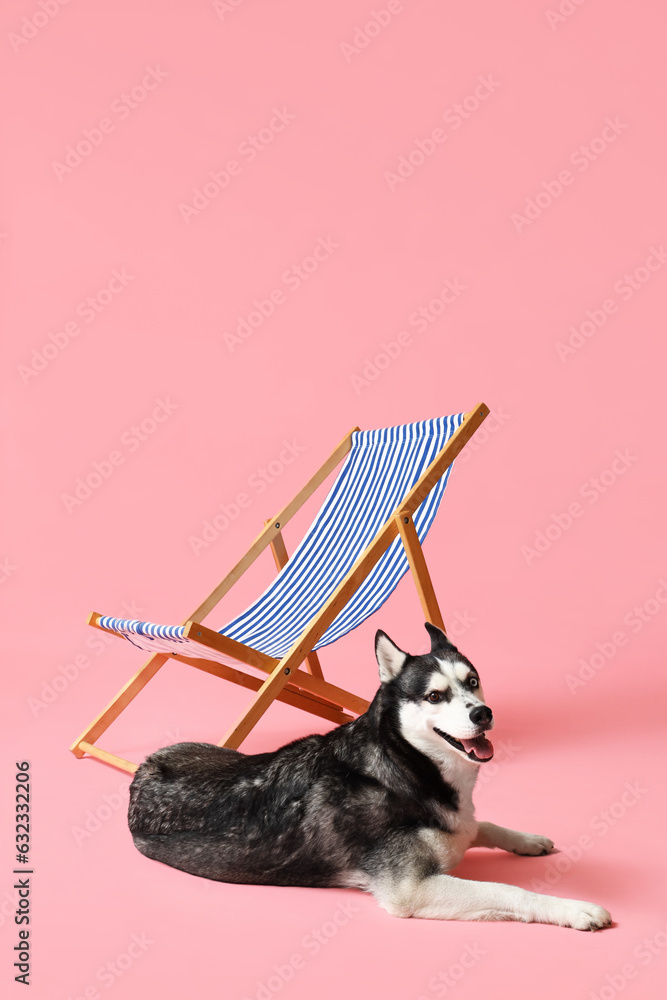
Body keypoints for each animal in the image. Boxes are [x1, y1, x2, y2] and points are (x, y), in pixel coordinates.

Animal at [128, 624, 612, 928]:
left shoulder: (458, 823)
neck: (405, 763)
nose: (483, 713)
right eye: (434, 696)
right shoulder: (412, 889)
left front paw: (526, 840)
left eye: (473, 681)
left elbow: (480, 824)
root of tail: (140, 771)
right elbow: (507, 891)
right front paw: (573, 909)